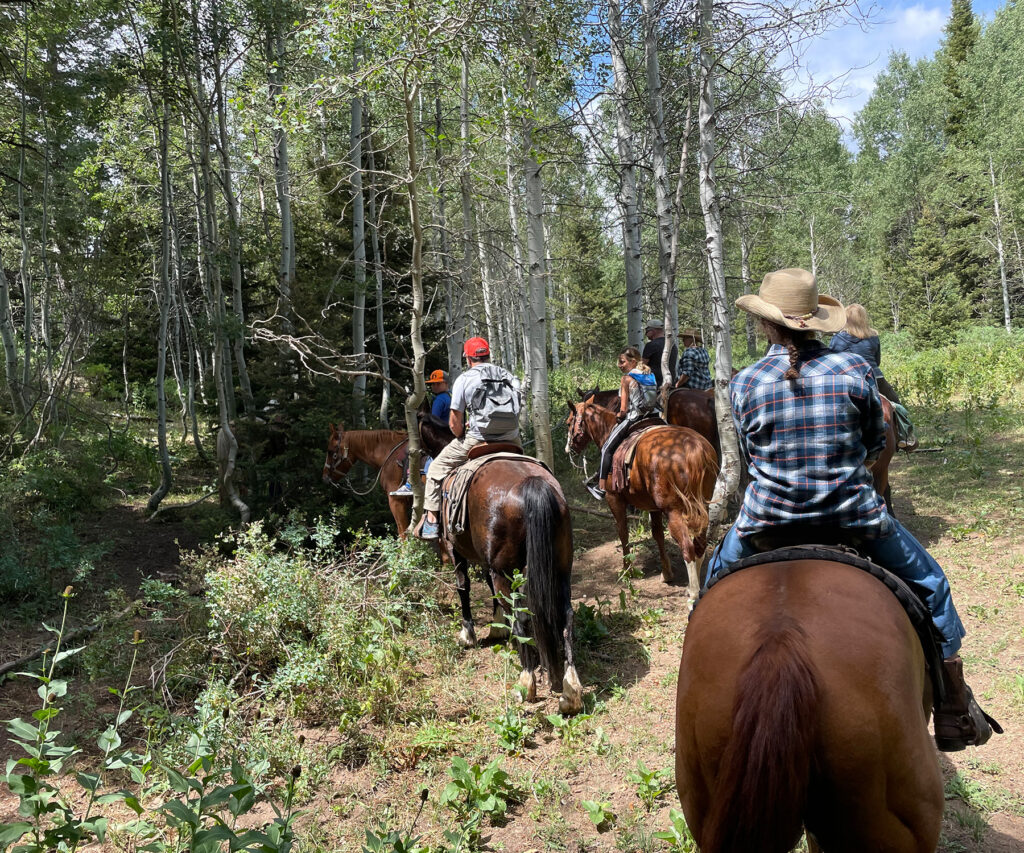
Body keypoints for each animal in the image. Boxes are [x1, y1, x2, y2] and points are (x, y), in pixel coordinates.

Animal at [415, 413, 585, 712]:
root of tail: (531, 483)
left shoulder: (456, 551)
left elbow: (464, 588)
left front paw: (469, 634)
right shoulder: (489, 562)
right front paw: (497, 628)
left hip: (504, 571)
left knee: (520, 615)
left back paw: (526, 681)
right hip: (561, 568)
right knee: (565, 615)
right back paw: (570, 689)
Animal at [565, 399, 716, 593]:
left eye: (569, 422)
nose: (569, 449)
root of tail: (694, 449)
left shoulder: (614, 499)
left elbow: (623, 532)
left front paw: (626, 570)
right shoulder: (653, 507)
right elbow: (657, 534)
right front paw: (666, 573)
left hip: (674, 511)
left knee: (688, 547)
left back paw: (693, 592)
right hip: (702, 506)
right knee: (699, 544)